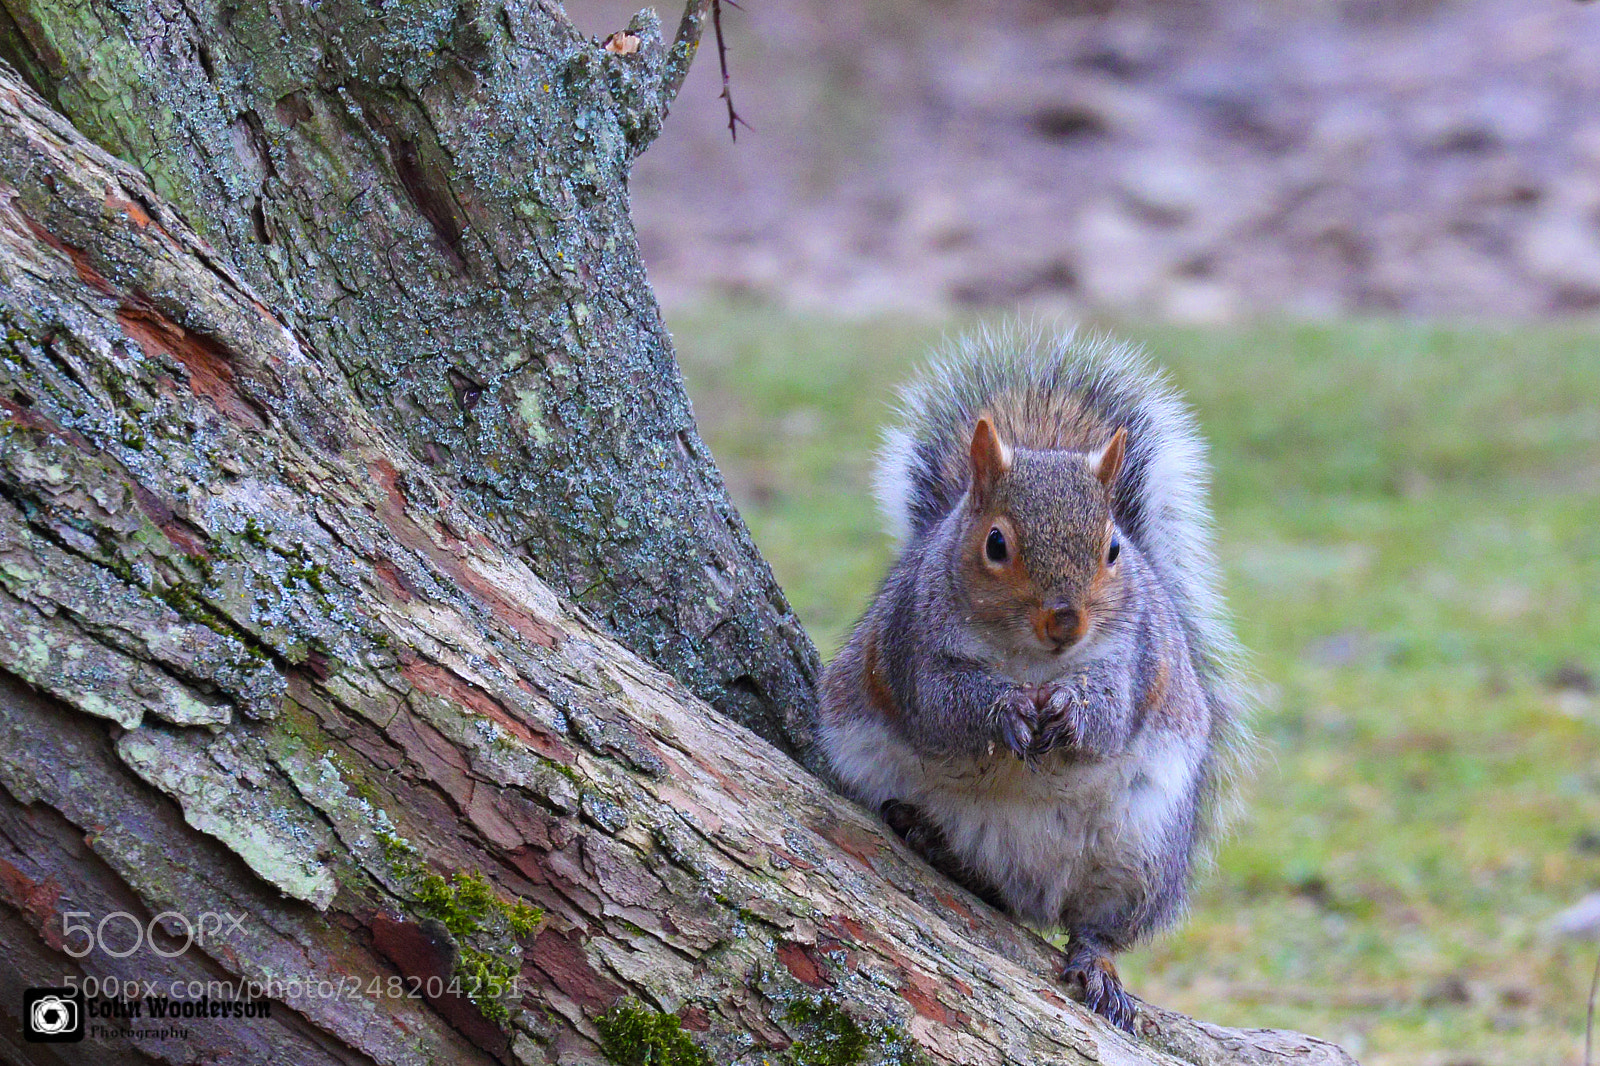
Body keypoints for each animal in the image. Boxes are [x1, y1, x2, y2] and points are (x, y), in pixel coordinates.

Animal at [818, 326, 1251, 1033]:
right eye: (996, 544)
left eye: (1113, 549)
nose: (1065, 621)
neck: (1032, 662)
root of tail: (1034, 888)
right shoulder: (914, 649)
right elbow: (944, 709)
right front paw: (1006, 713)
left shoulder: (1134, 661)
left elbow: (1110, 715)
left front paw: (1070, 713)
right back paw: (929, 838)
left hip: (1142, 851)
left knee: (1099, 925)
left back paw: (1098, 969)